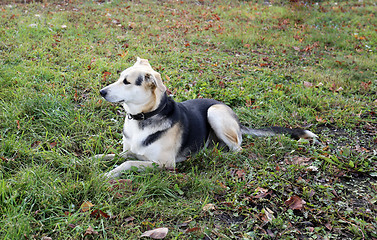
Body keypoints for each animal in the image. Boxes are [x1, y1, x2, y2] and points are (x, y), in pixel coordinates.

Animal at [94, 57, 318, 178]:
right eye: (119, 77)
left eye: (127, 82)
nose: (101, 92)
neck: (143, 118)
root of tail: (235, 118)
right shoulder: (129, 151)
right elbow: (110, 156)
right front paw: (90, 161)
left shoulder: (165, 164)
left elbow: (127, 164)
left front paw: (107, 175)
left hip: (215, 112)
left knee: (237, 149)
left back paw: (213, 155)